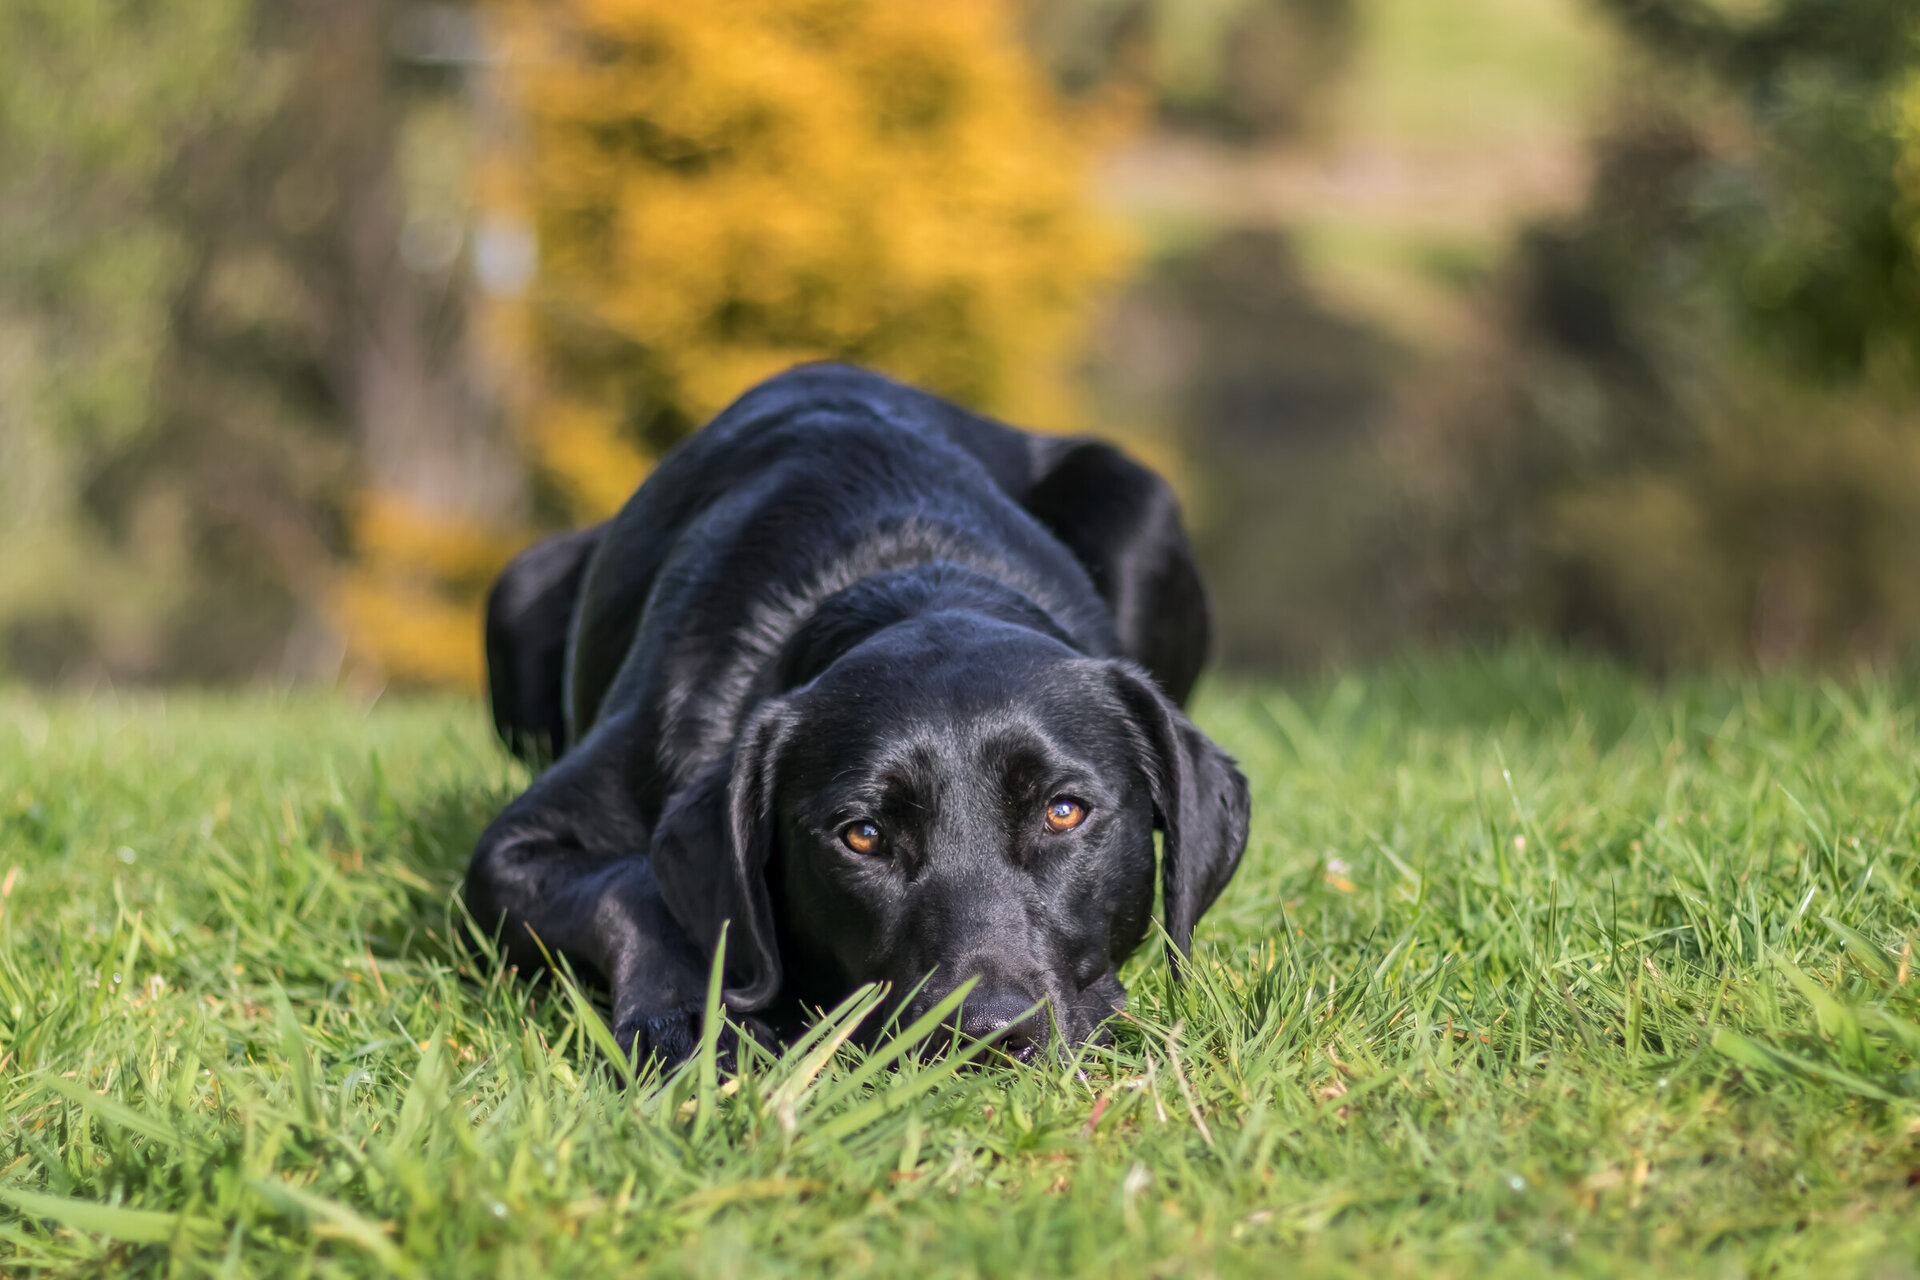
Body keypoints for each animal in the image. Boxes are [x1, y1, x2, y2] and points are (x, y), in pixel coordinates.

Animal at [470, 360, 1251, 1059]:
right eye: (863, 835)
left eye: (1064, 812)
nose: (985, 1036)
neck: (907, 573)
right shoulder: (509, 851)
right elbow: (632, 884)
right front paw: (692, 1020)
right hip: (518, 587)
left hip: (1141, 501)